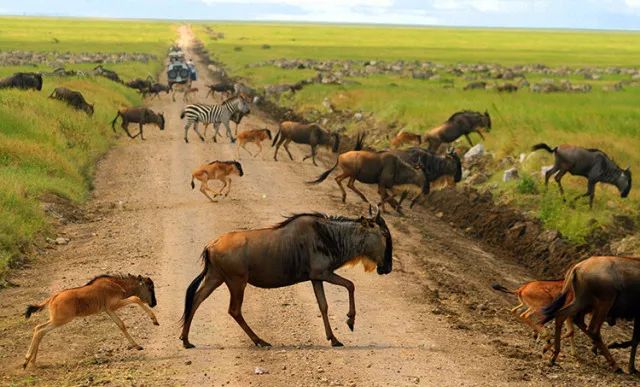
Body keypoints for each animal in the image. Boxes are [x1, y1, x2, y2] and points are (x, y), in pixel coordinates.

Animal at [23, 274, 158, 368]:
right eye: (150, 287)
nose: (154, 303)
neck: (117, 284)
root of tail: (52, 298)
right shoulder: (114, 306)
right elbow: (135, 298)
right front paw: (154, 320)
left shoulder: (109, 310)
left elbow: (121, 324)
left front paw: (137, 346)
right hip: (60, 320)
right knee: (40, 329)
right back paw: (27, 360)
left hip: (57, 320)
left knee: (39, 329)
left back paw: (32, 362)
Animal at [178, 209, 392, 348]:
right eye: (383, 234)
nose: (388, 268)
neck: (329, 236)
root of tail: (210, 245)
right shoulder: (323, 273)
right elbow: (350, 285)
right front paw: (350, 321)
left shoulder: (316, 278)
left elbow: (323, 306)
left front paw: (334, 339)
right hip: (237, 282)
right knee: (234, 310)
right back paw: (260, 341)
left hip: (216, 278)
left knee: (196, 300)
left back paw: (186, 340)